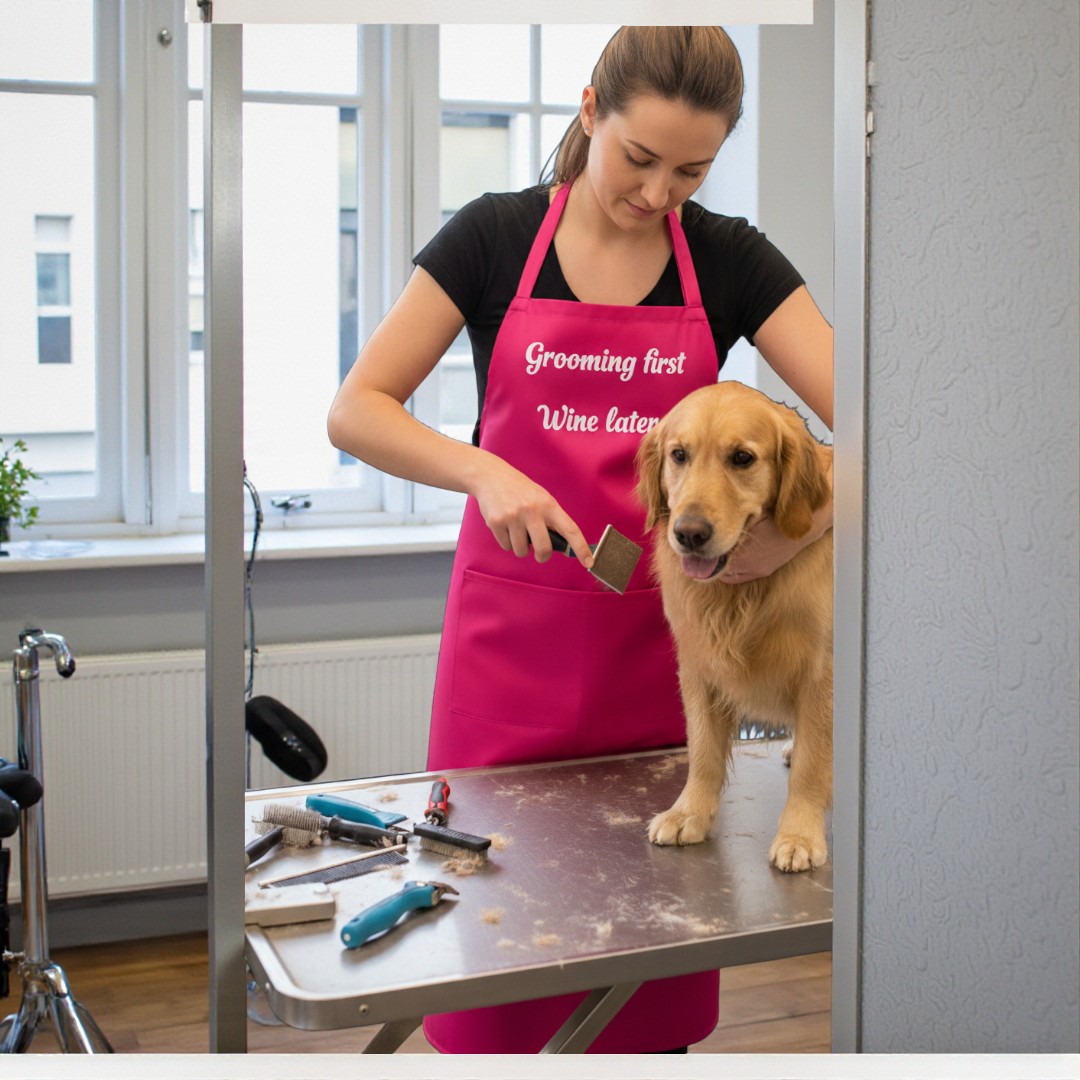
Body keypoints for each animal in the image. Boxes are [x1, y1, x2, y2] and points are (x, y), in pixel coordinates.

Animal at [635, 381, 833, 872]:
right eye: (679, 455)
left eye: (742, 458)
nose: (689, 533)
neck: (741, 592)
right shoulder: (698, 665)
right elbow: (703, 749)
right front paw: (688, 813)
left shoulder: (822, 672)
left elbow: (812, 764)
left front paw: (799, 834)